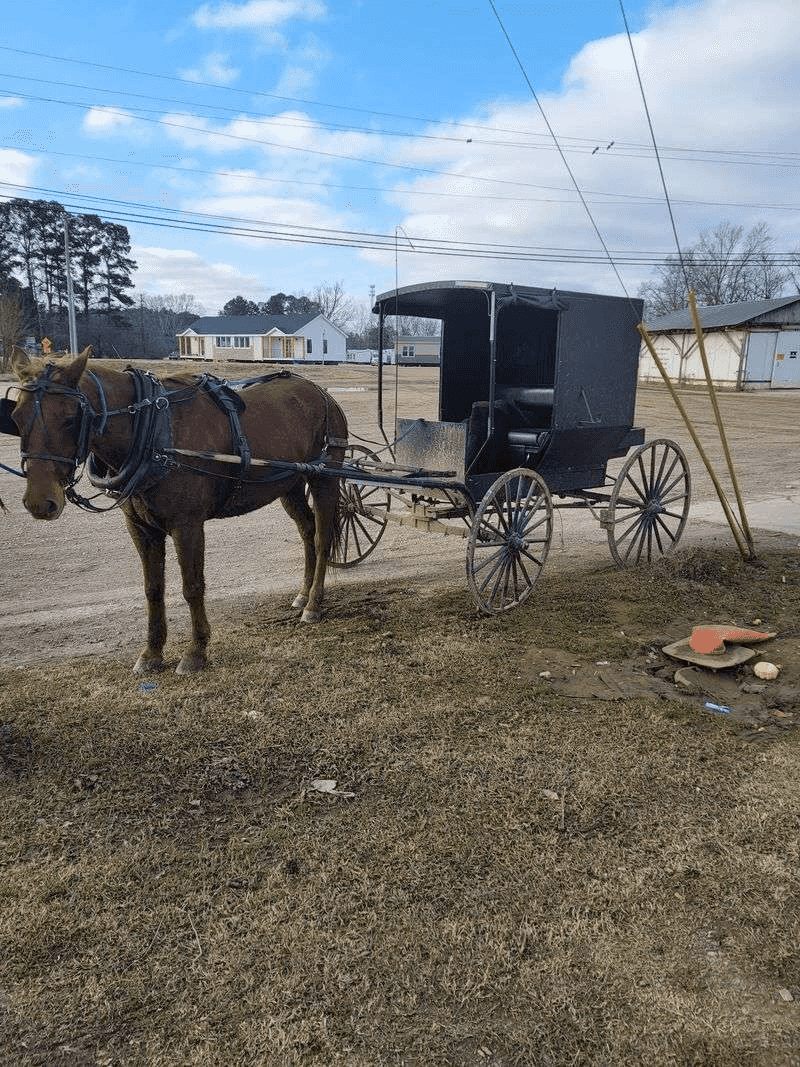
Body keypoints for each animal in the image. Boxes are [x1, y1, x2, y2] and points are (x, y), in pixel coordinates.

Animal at [10, 347, 348, 674]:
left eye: (70, 418)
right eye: (16, 416)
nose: (40, 501)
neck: (153, 432)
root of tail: (320, 391)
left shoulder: (187, 525)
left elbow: (192, 586)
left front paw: (196, 651)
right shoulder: (141, 528)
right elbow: (153, 589)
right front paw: (151, 653)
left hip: (324, 479)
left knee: (322, 538)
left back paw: (314, 604)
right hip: (289, 485)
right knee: (307, 532)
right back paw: (303, 594)